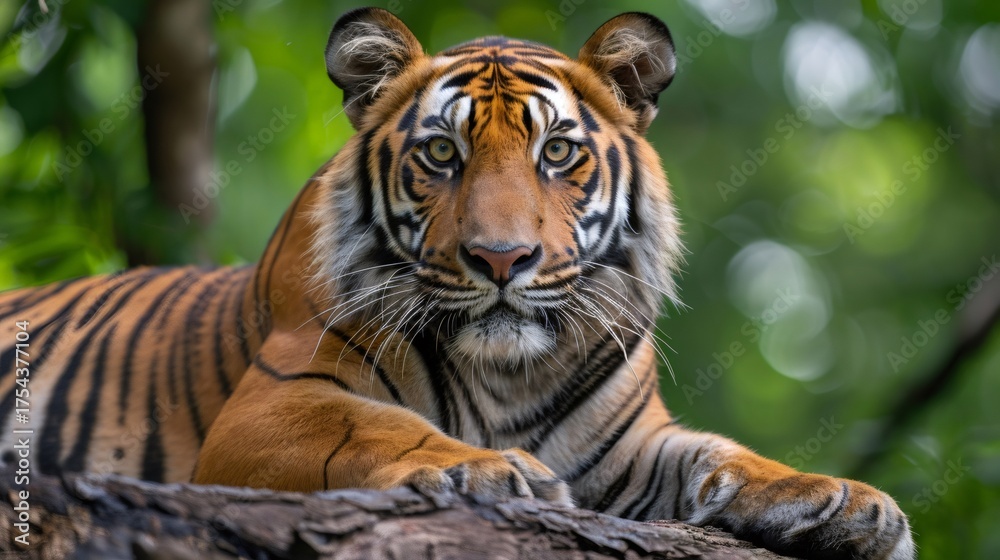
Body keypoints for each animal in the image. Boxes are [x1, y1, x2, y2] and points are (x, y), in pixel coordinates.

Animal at [0, 8, 914, 559]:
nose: (502, 259)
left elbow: (723, 454)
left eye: (557, 152)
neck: (511, 372)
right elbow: (379, 428)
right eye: (442, 153)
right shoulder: (273, 404)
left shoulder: (633, 447)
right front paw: (493, 472)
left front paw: (846, 501)